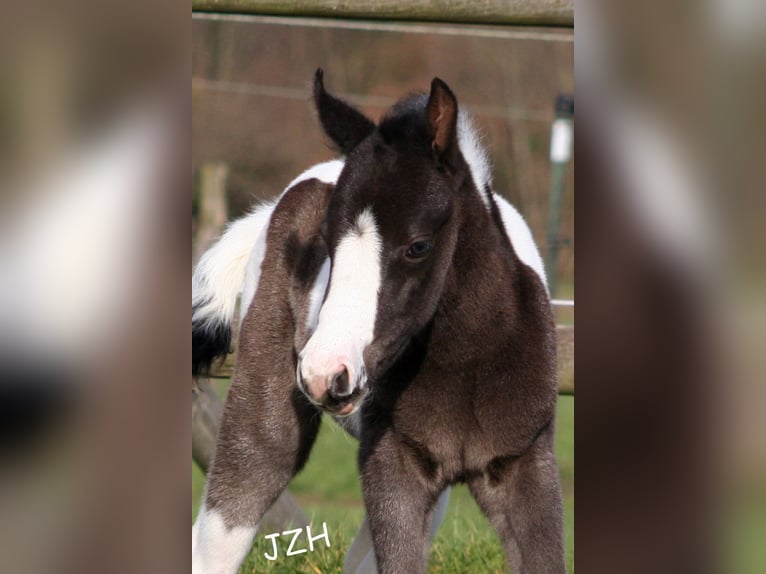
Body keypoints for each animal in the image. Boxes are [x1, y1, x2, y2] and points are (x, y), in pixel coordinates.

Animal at [192, 70, 565, 574]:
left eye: (418, 245)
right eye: (327, 241)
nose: (325, 372)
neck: (468, 365)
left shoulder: (526, 468)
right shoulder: (393, 465)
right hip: (264, 410)